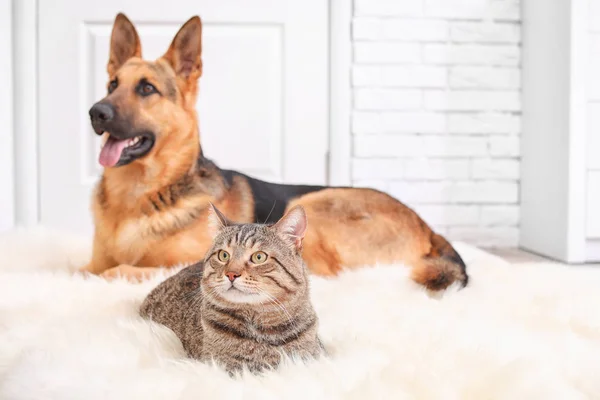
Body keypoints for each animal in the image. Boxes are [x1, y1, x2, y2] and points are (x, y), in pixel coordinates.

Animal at [81, 13, 468, 290]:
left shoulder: (179, 262)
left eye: (147, 89)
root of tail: (426, 226)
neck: (138, 196)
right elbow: (87, 268)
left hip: (312, 204)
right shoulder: (92, 260)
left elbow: (116, 271)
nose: (96, 112)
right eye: (112, 85)